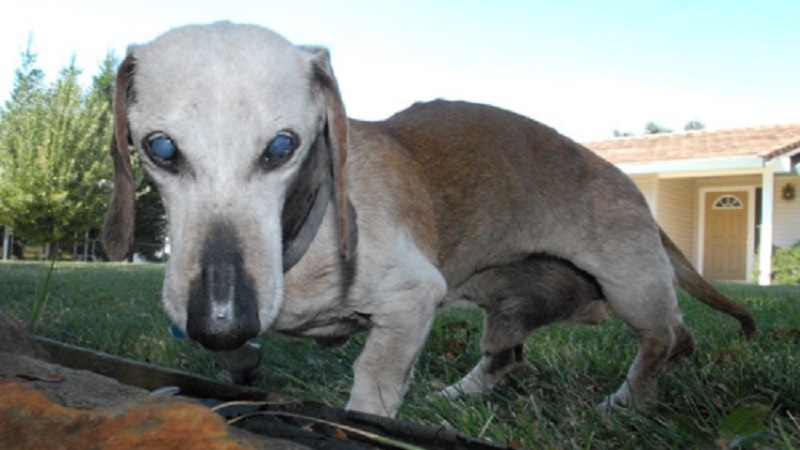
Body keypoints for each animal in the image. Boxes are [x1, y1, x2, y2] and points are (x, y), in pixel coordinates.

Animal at [103, 22, 752, 418]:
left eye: (282, 146)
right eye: (161, 149)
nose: (220, 321)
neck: (302, 235)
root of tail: (623, 179)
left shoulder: (412, 298)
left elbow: (373, 381)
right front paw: (240, 359)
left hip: (630, 285)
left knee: (671, 338)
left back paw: (627, 401)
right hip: (504, 302)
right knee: (509, 357)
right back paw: (456, 396)